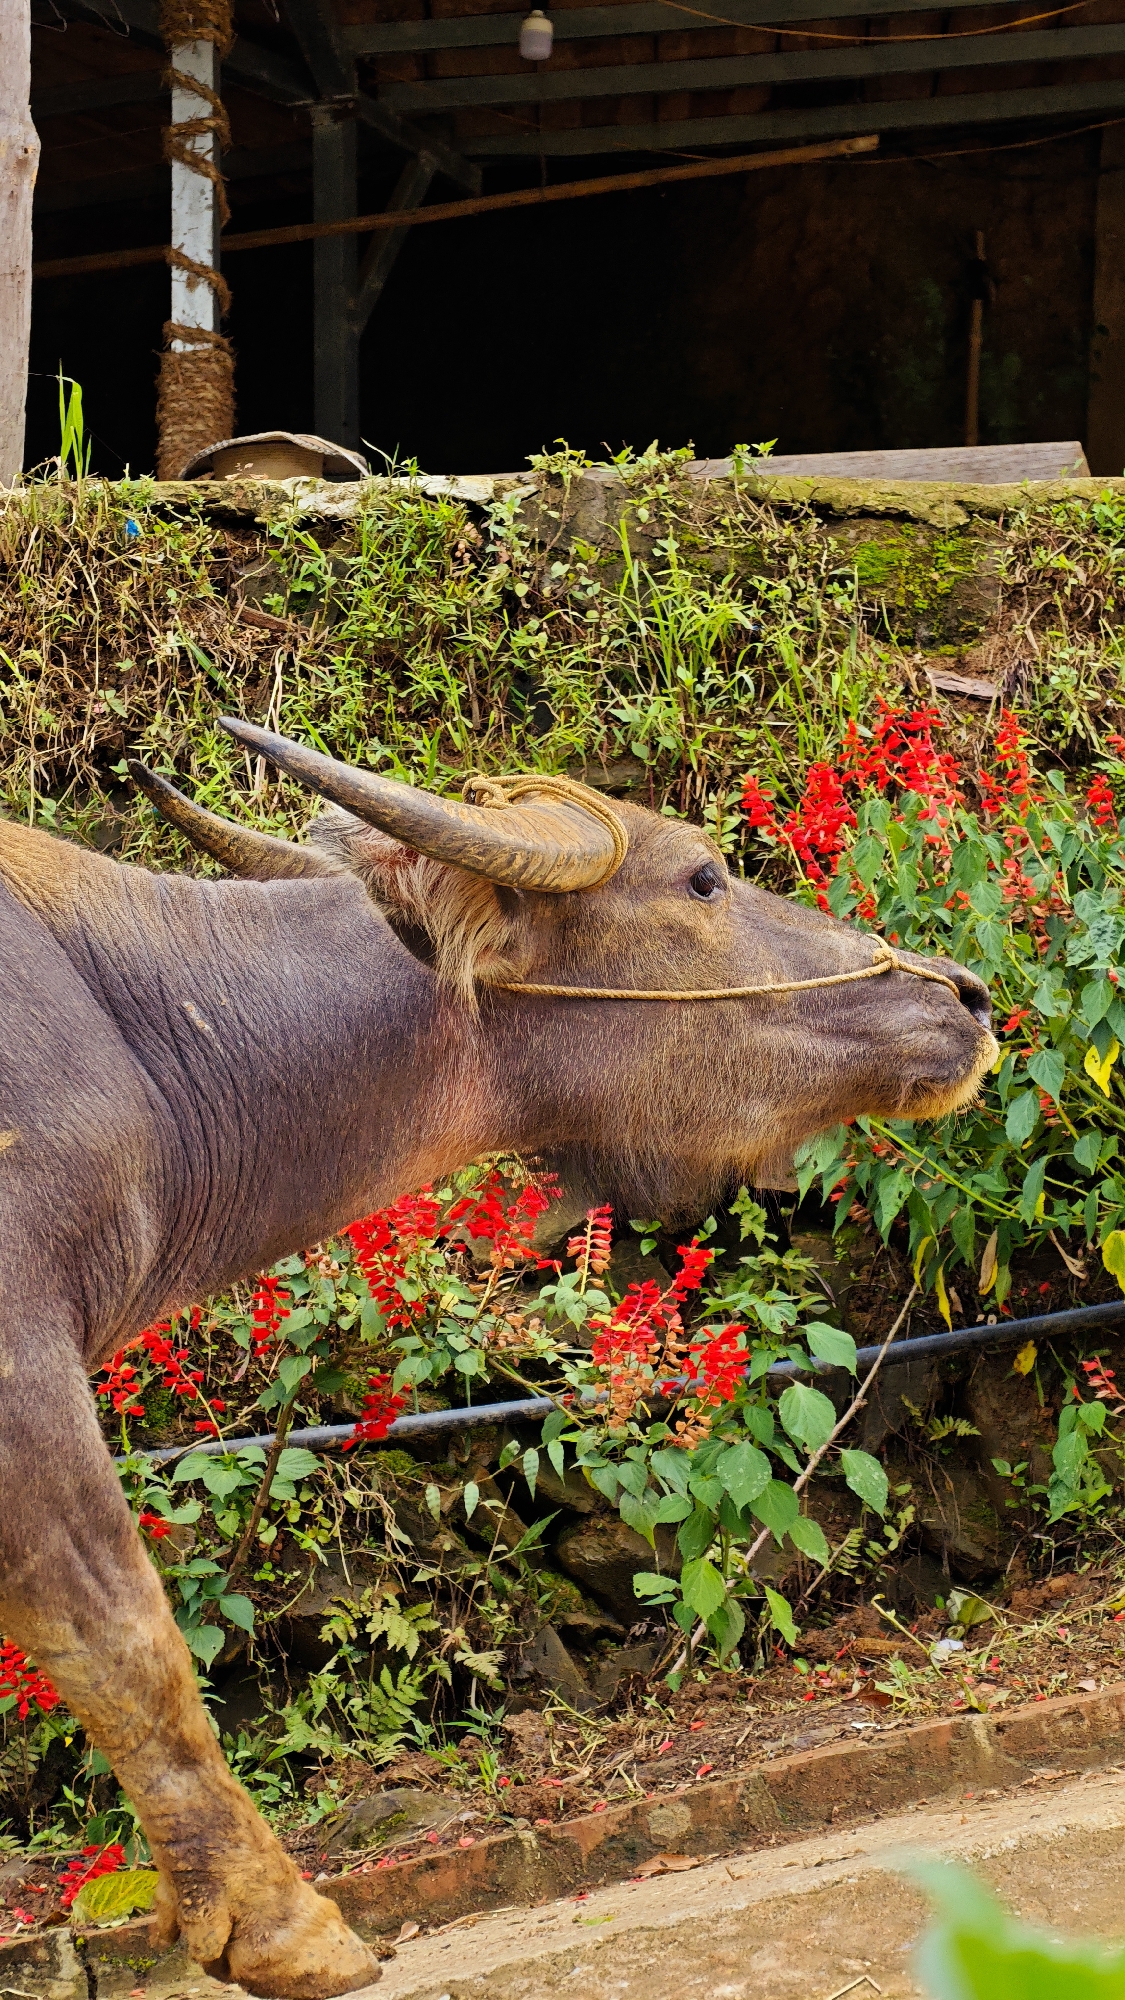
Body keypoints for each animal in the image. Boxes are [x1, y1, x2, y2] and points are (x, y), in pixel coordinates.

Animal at [0, 718, 996, 1996]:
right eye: (702, 877)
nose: (965, 993)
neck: (149, 1034)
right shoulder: (27, 1363)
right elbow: (125, 1637)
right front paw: (284, 1924)